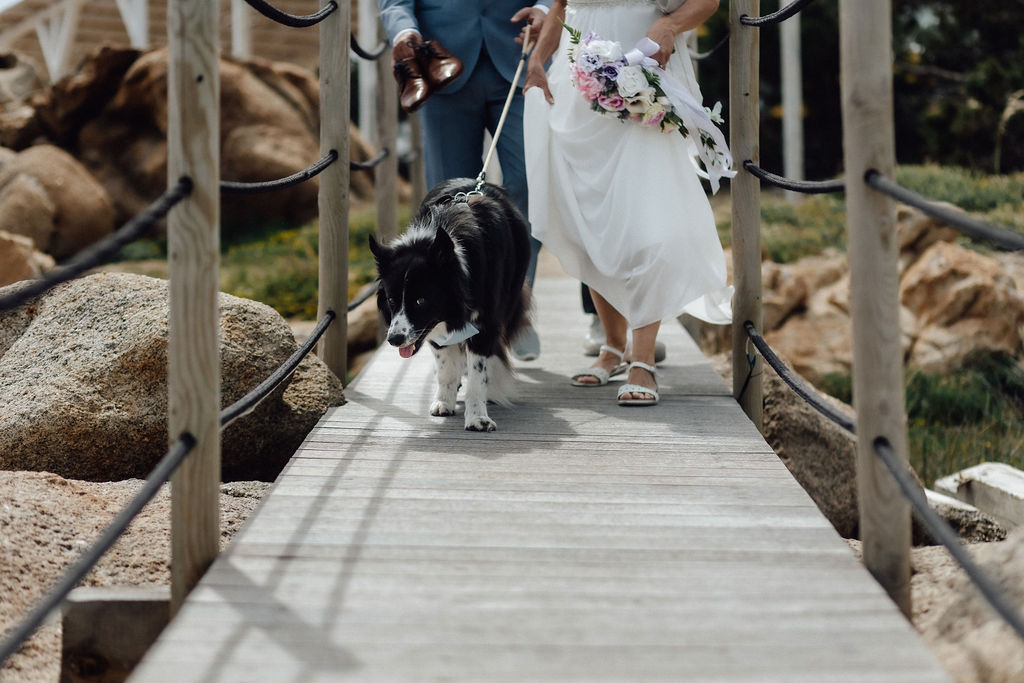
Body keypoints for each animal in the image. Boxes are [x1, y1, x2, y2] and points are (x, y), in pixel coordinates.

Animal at [368, 178, 532, 432]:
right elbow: (445, 368)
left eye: (420, 300)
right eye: (391, 300)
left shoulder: (485, 324)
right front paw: (444, 402)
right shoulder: (435, 327)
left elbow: (478, 375)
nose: (394, 340)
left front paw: (477, 418)